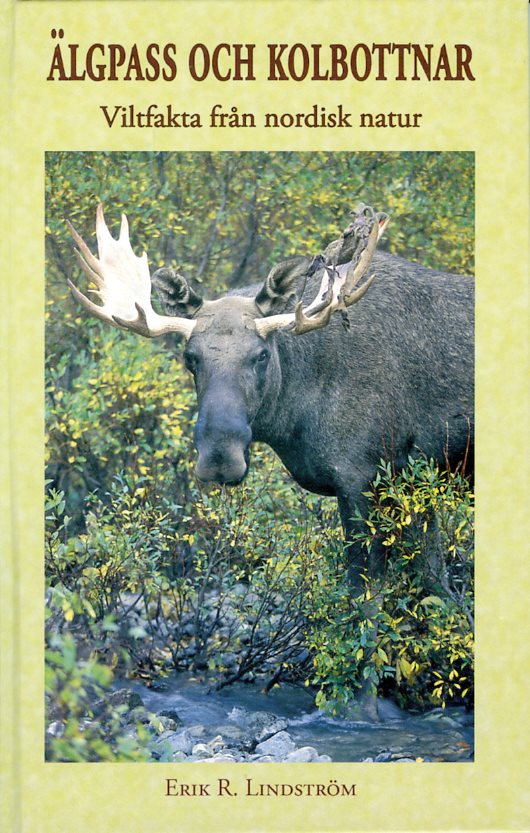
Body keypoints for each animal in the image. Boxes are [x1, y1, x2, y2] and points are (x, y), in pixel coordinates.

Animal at [67, 204, 474, 596]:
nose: (220, 458)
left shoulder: (361, 476)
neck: (296, 421)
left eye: (261, 354)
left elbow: (367, 597)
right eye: (190, 357)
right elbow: (435, 583)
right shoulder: (411, 483)